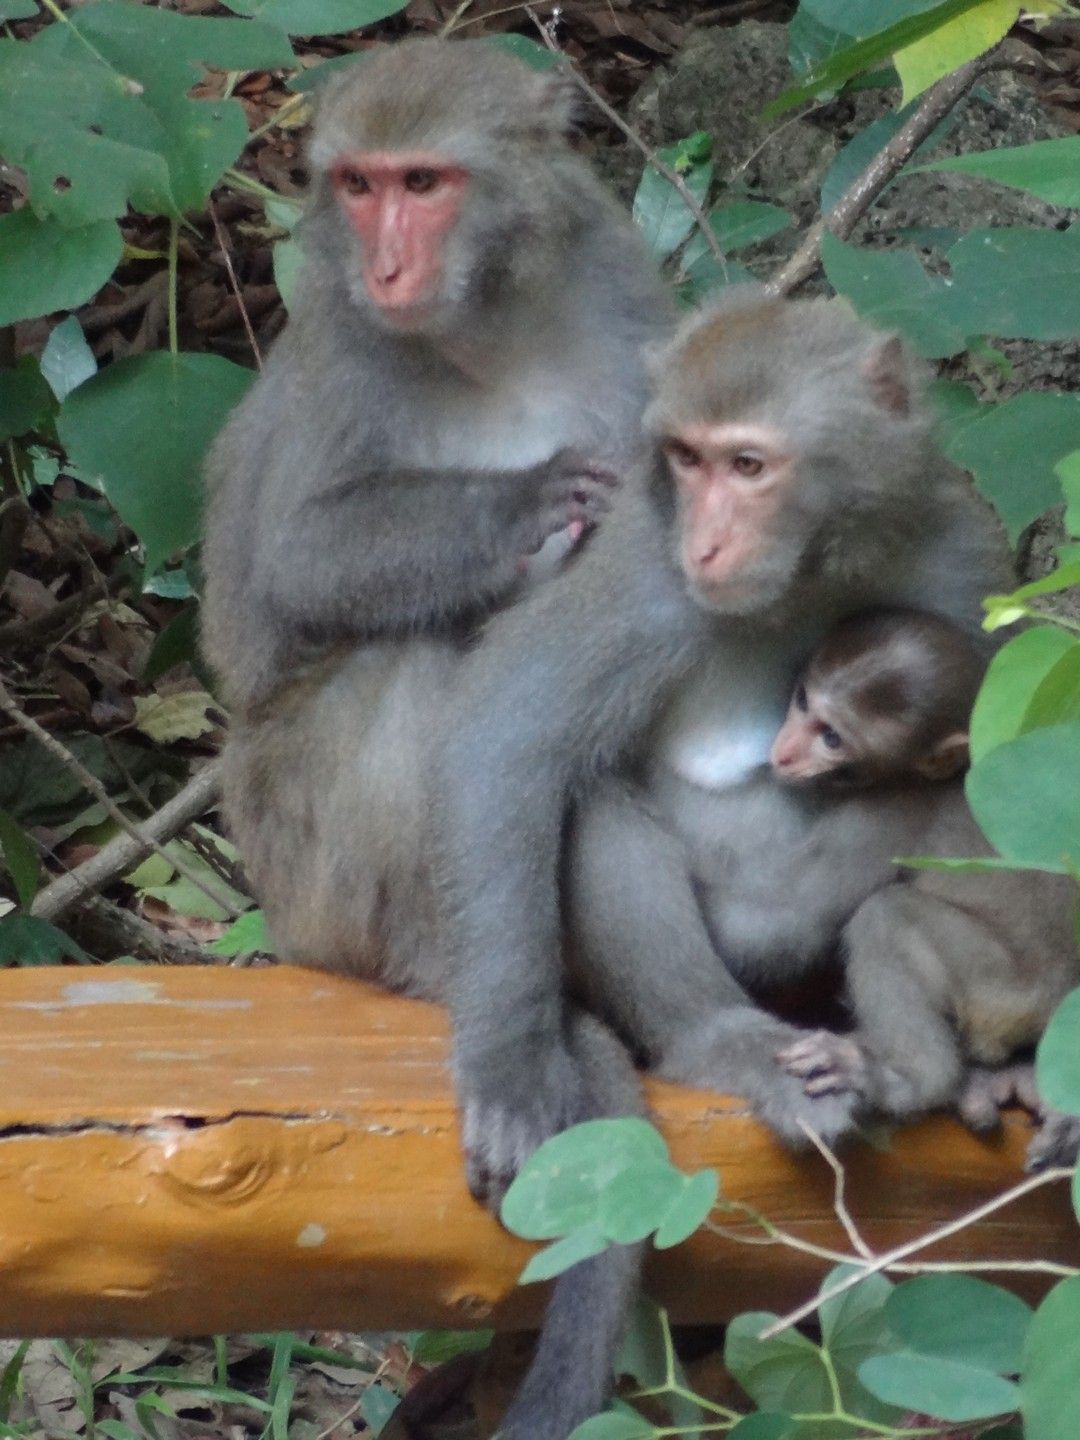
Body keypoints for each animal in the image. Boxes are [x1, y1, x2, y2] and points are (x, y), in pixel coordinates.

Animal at [201, 33, 673, 1440]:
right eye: (356, 187)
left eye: (424, 182)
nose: (388, 263)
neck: (490, 325)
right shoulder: (342, 350)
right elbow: (299, 557)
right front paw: (526, 508)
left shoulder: (626, 302)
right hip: (297, 868)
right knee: (408, 666)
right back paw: (449, 972)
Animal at [440, 292, 1013, 1192]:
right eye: (685, 459)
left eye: (747, 465)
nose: (705, 544)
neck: (810, 576)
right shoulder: (646, 577)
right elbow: (510, 730)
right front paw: (511, 1067)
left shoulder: (960, 560)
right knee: (590, 788)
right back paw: (717, 1037)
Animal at [777, 607, 1080, 1169]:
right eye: (803, 700)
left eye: (831, 738)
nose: (783, 754)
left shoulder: (884, 809)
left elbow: (774, 924)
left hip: (1002, 989)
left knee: (886, 917)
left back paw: (906, 1081)